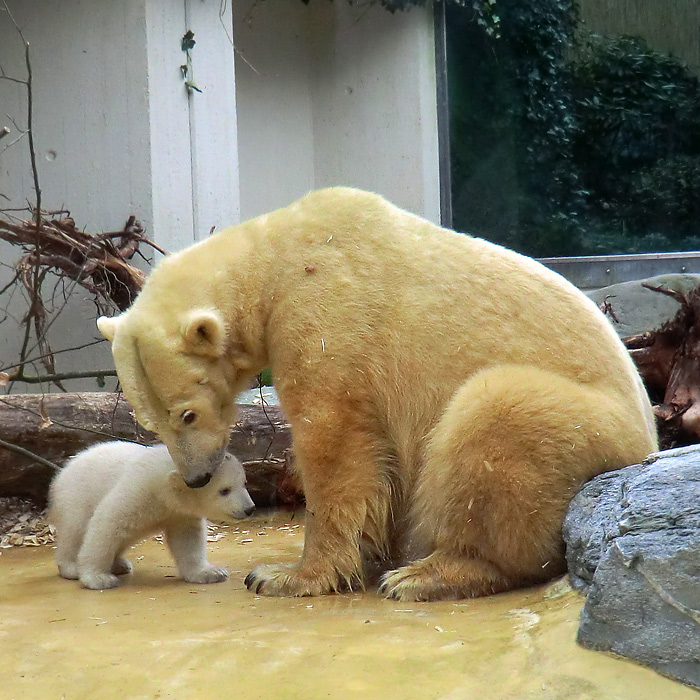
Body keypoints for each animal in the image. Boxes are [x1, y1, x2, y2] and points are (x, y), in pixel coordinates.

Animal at [97, 187, 656, 600]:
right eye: (150, 420)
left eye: (187, 414)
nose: (196, 477)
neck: (275, 256)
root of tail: (646, 441)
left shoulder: (326, 311)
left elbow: (337, 442)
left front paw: (283, 575)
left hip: (586, 426)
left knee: (494, 414)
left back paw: (427, 574)